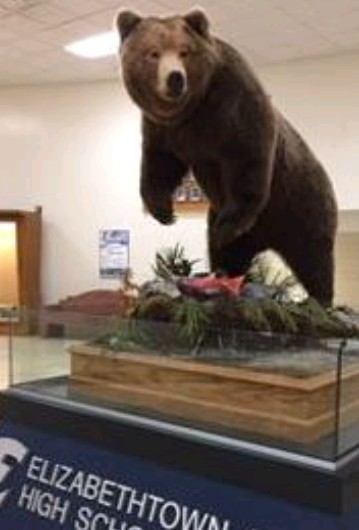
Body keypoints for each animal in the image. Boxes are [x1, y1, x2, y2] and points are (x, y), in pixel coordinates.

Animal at [116, 8, 338, 306]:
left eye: (184, 51)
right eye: (153, 53)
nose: (175, 78)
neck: (193, 111)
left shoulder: (234, 103)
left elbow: (247, 158)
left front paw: (228, 223)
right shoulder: (165, 129)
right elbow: (160, 163)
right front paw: (164, 211)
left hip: (301, 202)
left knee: (314, 257)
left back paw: (320, 300)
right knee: (225, 251)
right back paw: (220, 277)